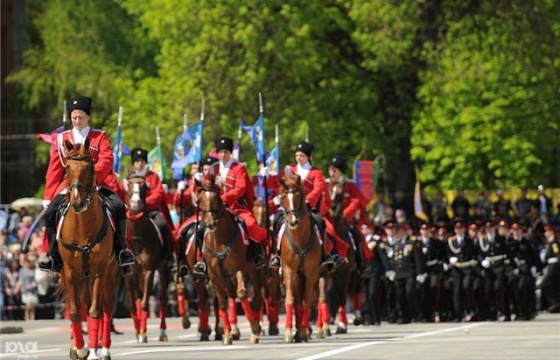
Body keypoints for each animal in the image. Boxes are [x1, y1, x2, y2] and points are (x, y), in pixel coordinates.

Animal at [57, 141, 118, 360]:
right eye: (67, 168)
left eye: (88, 167)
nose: (77, 201)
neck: (82, 226)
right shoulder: (69, 272)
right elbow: (75, 311)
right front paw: (80, 348)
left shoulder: (100, 271)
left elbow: (94, 311)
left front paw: (92, 351)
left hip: (109, 274)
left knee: (105, 307)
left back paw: (104, 348)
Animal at [124, 176, 171, 344]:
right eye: (129, 187)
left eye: (144, 188)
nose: (135, 203)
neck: (138, 237)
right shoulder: (130, 274)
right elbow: (133, 304)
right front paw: (138, 331)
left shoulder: (149, 271)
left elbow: (144, 302)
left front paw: (143, 334)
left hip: (163, 270)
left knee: (162, 299)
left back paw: (162, 332)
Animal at [192, 176, 262, 344]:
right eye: (200, 199)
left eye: (216, 198)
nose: (210, 223)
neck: (219, 239)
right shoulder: (215, 275)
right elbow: (222, 302)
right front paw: (228, 334)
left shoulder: (240, 269)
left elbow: (242, 294)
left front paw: (254, 327)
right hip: (227, 277)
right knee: (230, 295)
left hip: (254, 273)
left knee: (257, 298)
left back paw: (255, 332)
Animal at [276, 174, 322, 344]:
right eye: (282, 196)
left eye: (298, 195)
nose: (293, 221)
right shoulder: (289, 270)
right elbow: (290, 299)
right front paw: (289, 332)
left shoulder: (312, 272)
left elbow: (307, 300)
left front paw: (302, 331)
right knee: (296, 301)